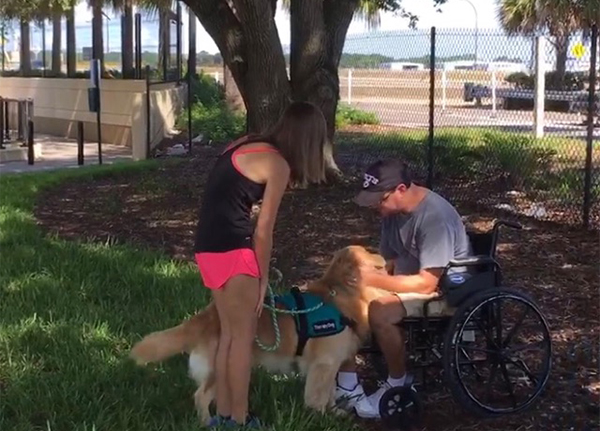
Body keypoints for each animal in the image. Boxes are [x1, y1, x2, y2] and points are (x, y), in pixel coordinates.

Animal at [127, 246, 390, 426]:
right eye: (371, 256)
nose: (386, 260)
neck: (341, 293)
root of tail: (207, 316)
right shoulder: (323, 364)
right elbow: (318, 396)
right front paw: (320, 417)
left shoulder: (330, 364)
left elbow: (329, 394)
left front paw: (335, 411)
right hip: (219, 368)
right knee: (200, 396)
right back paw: (208, 423)